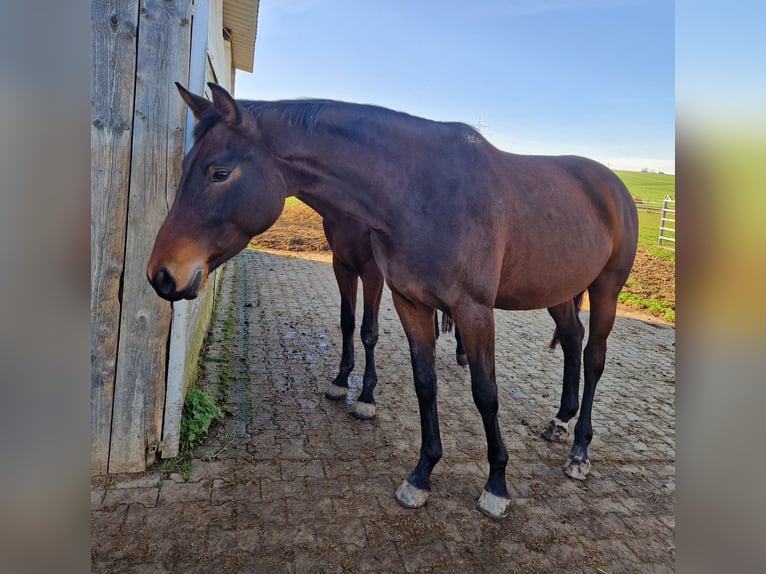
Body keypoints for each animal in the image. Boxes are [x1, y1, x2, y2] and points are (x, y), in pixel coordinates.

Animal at [320, 209, 464, 420]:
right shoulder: (342, 264)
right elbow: (347, 322)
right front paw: (340, 380)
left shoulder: (372, 271)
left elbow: (369, 332)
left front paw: (366, 397)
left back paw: (462, 351)